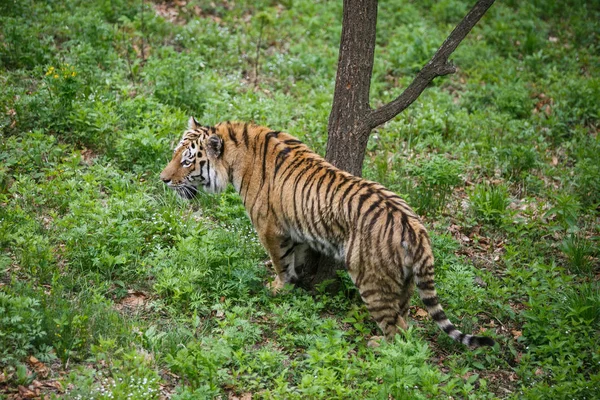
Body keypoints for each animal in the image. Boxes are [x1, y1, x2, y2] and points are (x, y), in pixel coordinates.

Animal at [157, 116, 494, 346]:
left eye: (187, 162)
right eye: (174, 154)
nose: (163, 179)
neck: (235, 155)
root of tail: (416, 228)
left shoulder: (269, 228)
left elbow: (281, 262)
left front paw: (279, 287)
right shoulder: (297, 229)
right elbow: (297, 256)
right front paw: (297, 282)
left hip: (372, 279)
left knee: (398, 328)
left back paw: (380, 346)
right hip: (405, 283)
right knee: (406, 315)